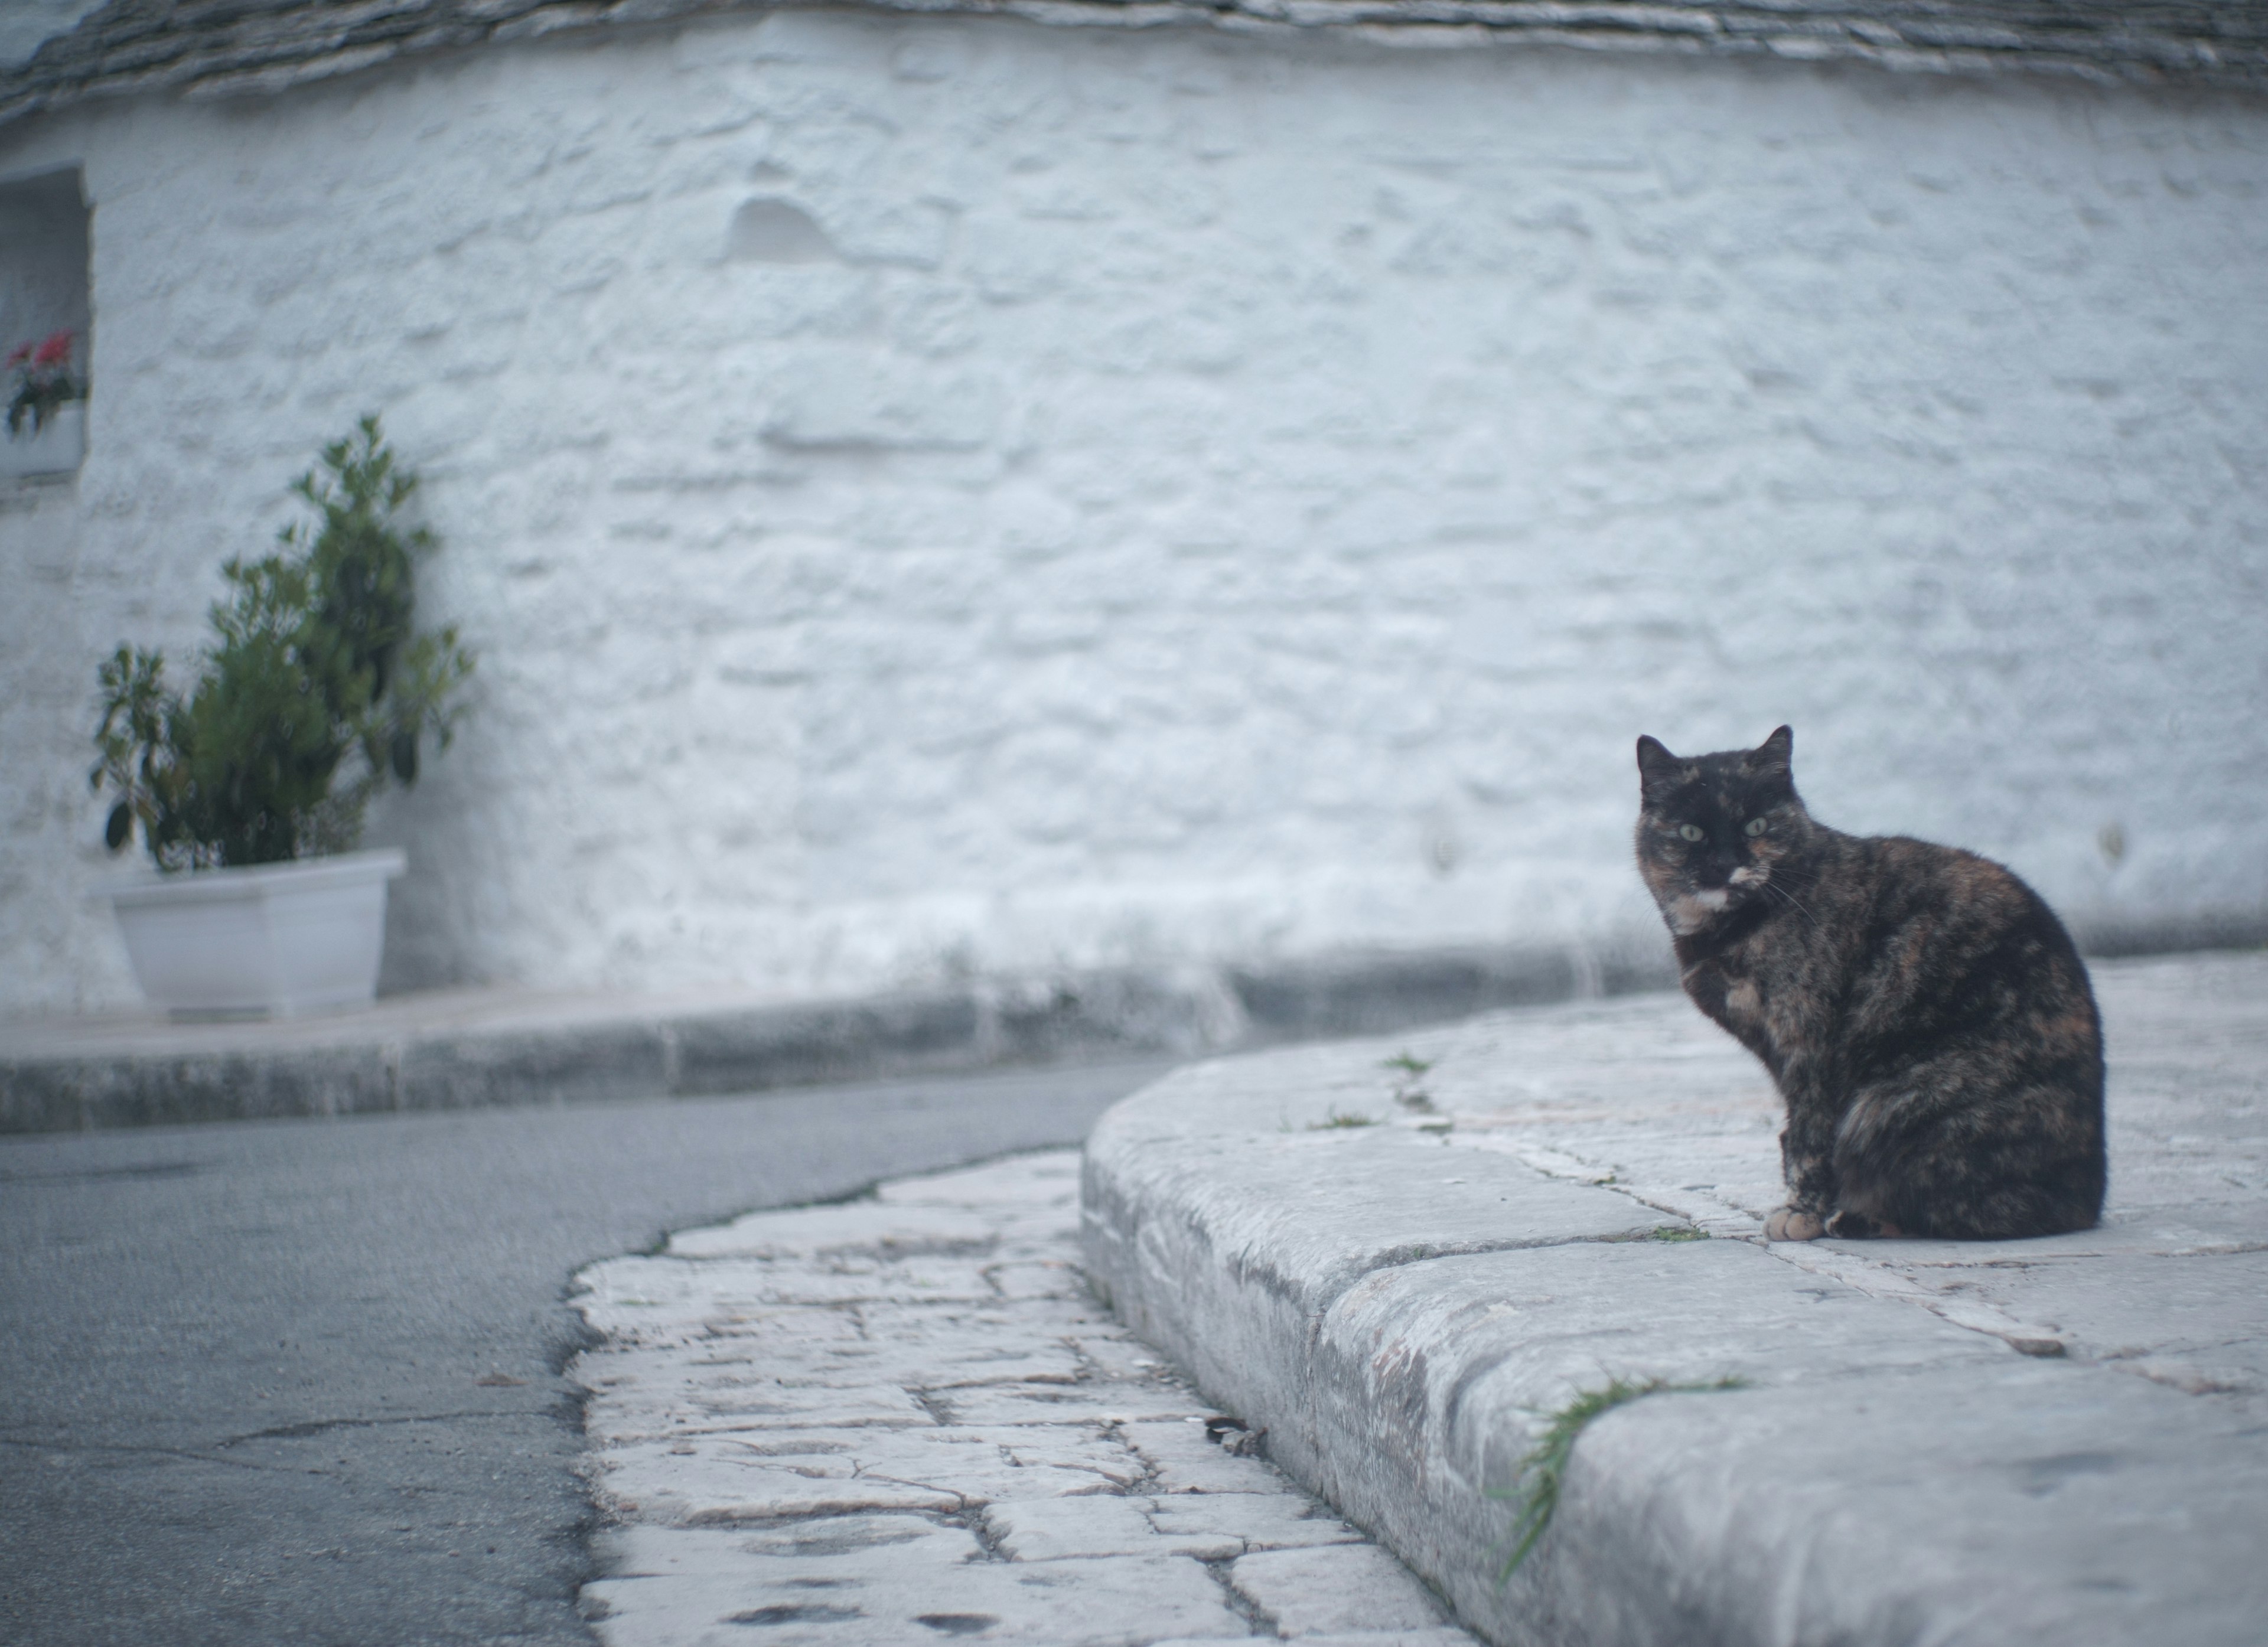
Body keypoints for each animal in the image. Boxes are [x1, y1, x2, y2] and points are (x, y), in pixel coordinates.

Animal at [1642, 730, 2096, 1243]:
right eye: (1690, 832)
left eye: (1757, 825)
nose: (1724, 865)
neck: (1730, 929)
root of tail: (2090, 1197)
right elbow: (1792, 1136)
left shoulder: (1810, 1045)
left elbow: (1809, 1136)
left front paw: (1802, 1212)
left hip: (1888, 1103)